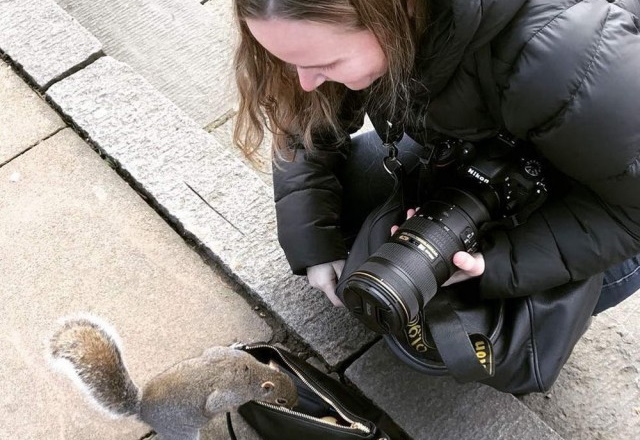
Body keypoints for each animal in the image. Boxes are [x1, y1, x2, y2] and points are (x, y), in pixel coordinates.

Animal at [48, 316, 298, 440]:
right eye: (281, 401)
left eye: (294, 383)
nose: (295, 406)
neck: (254, 372)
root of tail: (143, 411)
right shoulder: (231, 391)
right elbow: (213, 406)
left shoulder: (222, 355)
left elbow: (215, 350)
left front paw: (236, 343)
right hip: (182, 433)